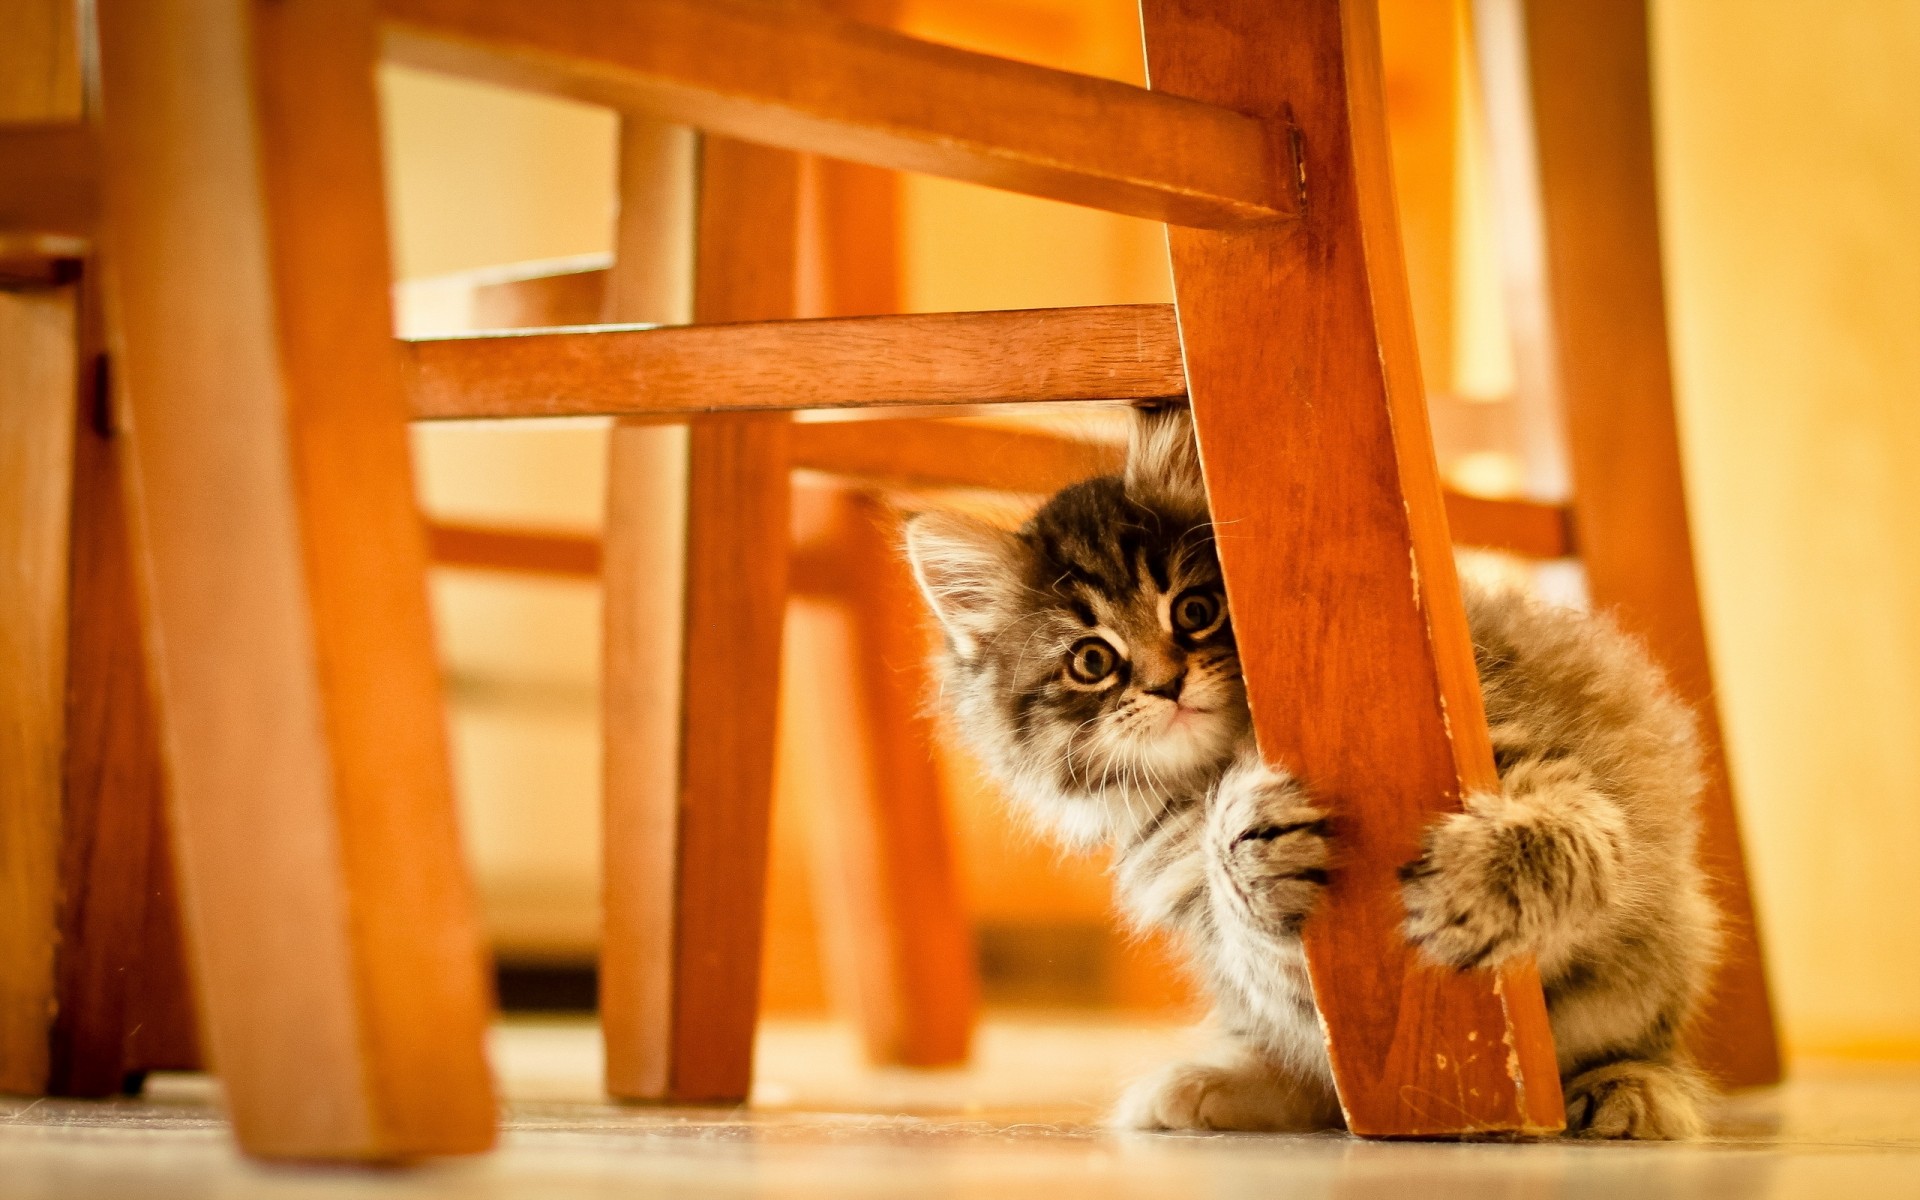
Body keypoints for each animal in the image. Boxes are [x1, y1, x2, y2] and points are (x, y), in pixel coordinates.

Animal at [902, 407, 1728, 1136]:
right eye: (1092, 661)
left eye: (1195, 610)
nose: (1167, 685)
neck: (1211, 770)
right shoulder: (1217, 924)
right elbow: (1261, 945)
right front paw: (1250, 850)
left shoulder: (1521, 750)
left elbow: (1564, 833)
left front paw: (1485, 885)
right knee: (1316, 1084)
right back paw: (1214, 1084)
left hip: (1663, 946)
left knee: (1639, 1042)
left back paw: (1632, 1089)